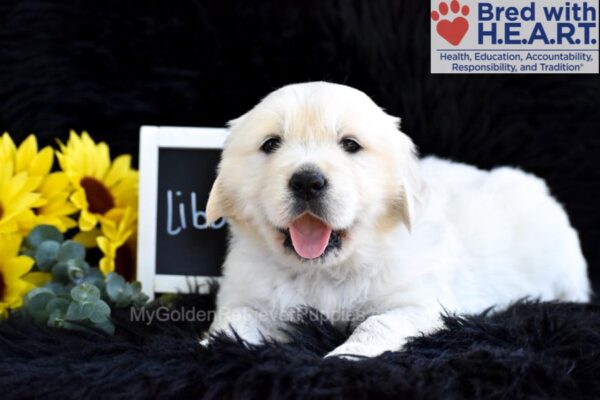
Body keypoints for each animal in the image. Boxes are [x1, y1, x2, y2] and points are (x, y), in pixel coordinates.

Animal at [204, 83, 588, 358]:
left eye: (350, 145)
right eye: (271, 144)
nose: (307, 182)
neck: (324, 273)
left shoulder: (422, 304)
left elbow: (378, 324)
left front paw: (344, 357)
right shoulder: (245, 295)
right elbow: (233, 321)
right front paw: (207, 349)